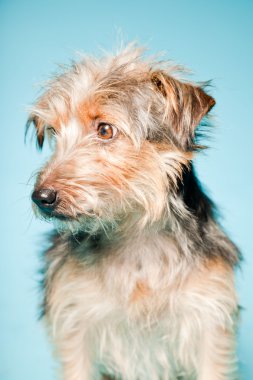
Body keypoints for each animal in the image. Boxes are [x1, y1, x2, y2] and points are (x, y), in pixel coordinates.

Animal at [26, 45, 240, 380]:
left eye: (104, 130)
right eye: (54, 132)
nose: (40, 197)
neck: (136, 236)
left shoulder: (208, 317)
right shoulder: (76, 321)